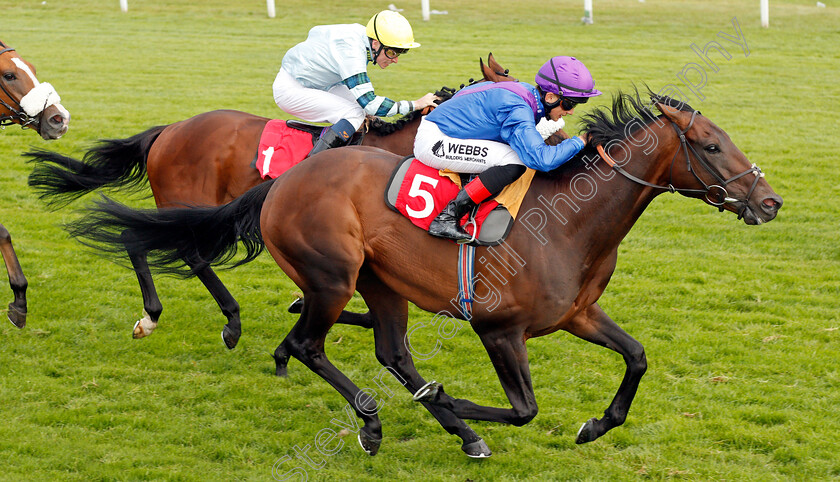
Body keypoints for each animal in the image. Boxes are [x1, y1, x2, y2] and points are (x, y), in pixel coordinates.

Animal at [27, 53, 520, 346]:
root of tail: (169, 130)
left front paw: (306, 305)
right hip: (186, 202)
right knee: (178, 248)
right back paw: (212, 319)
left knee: (146, 237)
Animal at [69, 91, 784, 456]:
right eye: (712, 146)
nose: (770, 201)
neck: (570, 222)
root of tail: (284, 183)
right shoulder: (500, 328)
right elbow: (523, 409)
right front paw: (452, 404)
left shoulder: (577, 313)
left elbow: (636, 356)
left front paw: (594, 424)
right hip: (333, 274)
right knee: (307, 342)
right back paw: (374, 416)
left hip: (380, 282)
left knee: (390, 351)